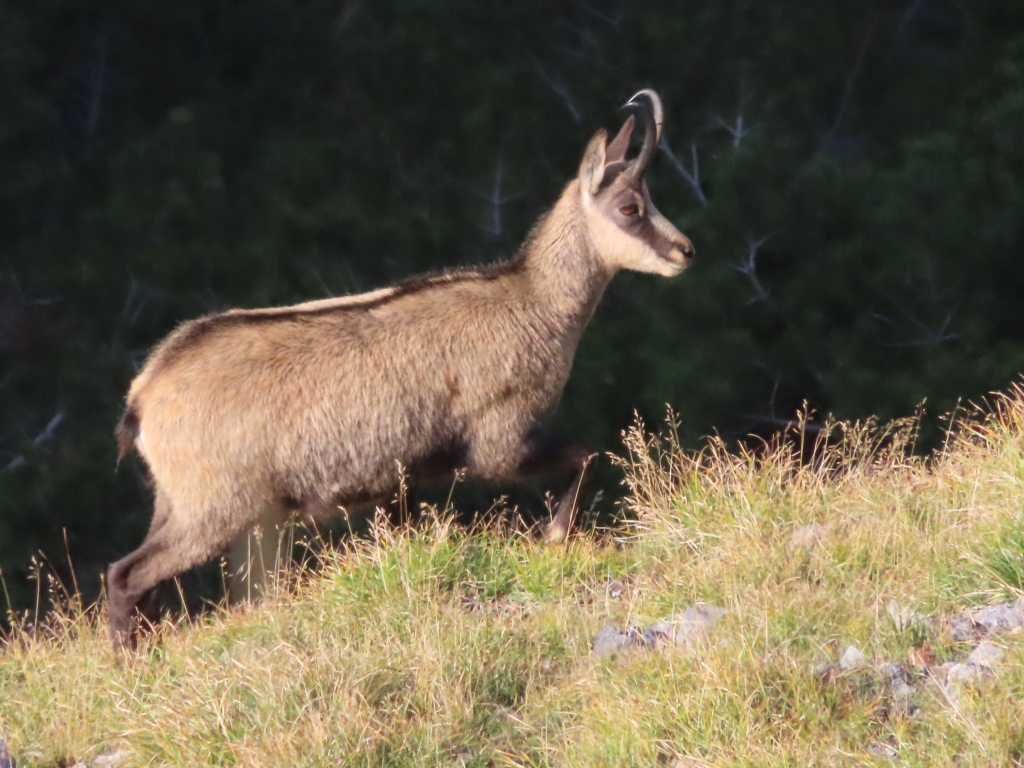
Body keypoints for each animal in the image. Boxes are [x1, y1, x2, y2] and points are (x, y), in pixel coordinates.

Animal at [108, 89, 694, 650]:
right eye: (630, 207)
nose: (685, 251)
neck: (532, 304)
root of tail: (145, 394)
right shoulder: (499, 442)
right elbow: (584, 454)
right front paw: (555, 535)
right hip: (215, 509)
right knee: (125, 575)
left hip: (190, 505)